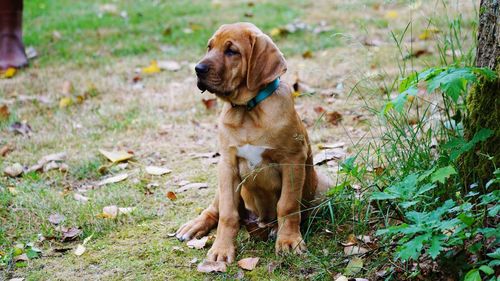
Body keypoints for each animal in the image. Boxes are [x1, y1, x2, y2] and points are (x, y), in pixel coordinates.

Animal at [176, 21, 328, 262]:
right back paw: (194, 225)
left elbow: (287, 205)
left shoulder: (293, 159)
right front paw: (221, 250)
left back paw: (274, 229)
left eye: (232, 51)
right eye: (209, 47)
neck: (248, 110)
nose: (197, 69)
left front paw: (288, 241)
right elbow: (228, 214)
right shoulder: (227, 165)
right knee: (215, 209)